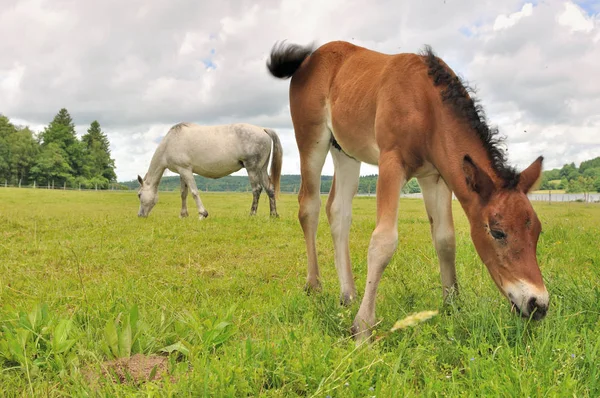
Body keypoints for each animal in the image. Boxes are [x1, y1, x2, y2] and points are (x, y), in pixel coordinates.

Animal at [138, 123, 284, 219]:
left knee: (257, 189)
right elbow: (183, 193)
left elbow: (194, 192)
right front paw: (183, 214)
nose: (140, 215)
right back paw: (273, 214)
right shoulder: (182, 172)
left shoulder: (186, 170)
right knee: (269, 189)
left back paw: (252, 214)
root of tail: (262, 130)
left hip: (252, 168)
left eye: (139, 195)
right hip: (262, 169)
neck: (170, 142)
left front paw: (202, 214)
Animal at [268, 39, 548, 338]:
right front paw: (363, 326)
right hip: (311, 139)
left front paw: (452, 305)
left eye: (537, 231)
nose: (538, 304)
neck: (426, 104)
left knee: (338, 210)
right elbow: (383, 241)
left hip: (345, 152)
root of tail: (309, 57)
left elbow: (445, 239)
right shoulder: (391, 163)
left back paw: (348, 294)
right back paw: (315, 285)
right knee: (309, 206)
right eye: (497, 232)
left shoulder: (435, 177)